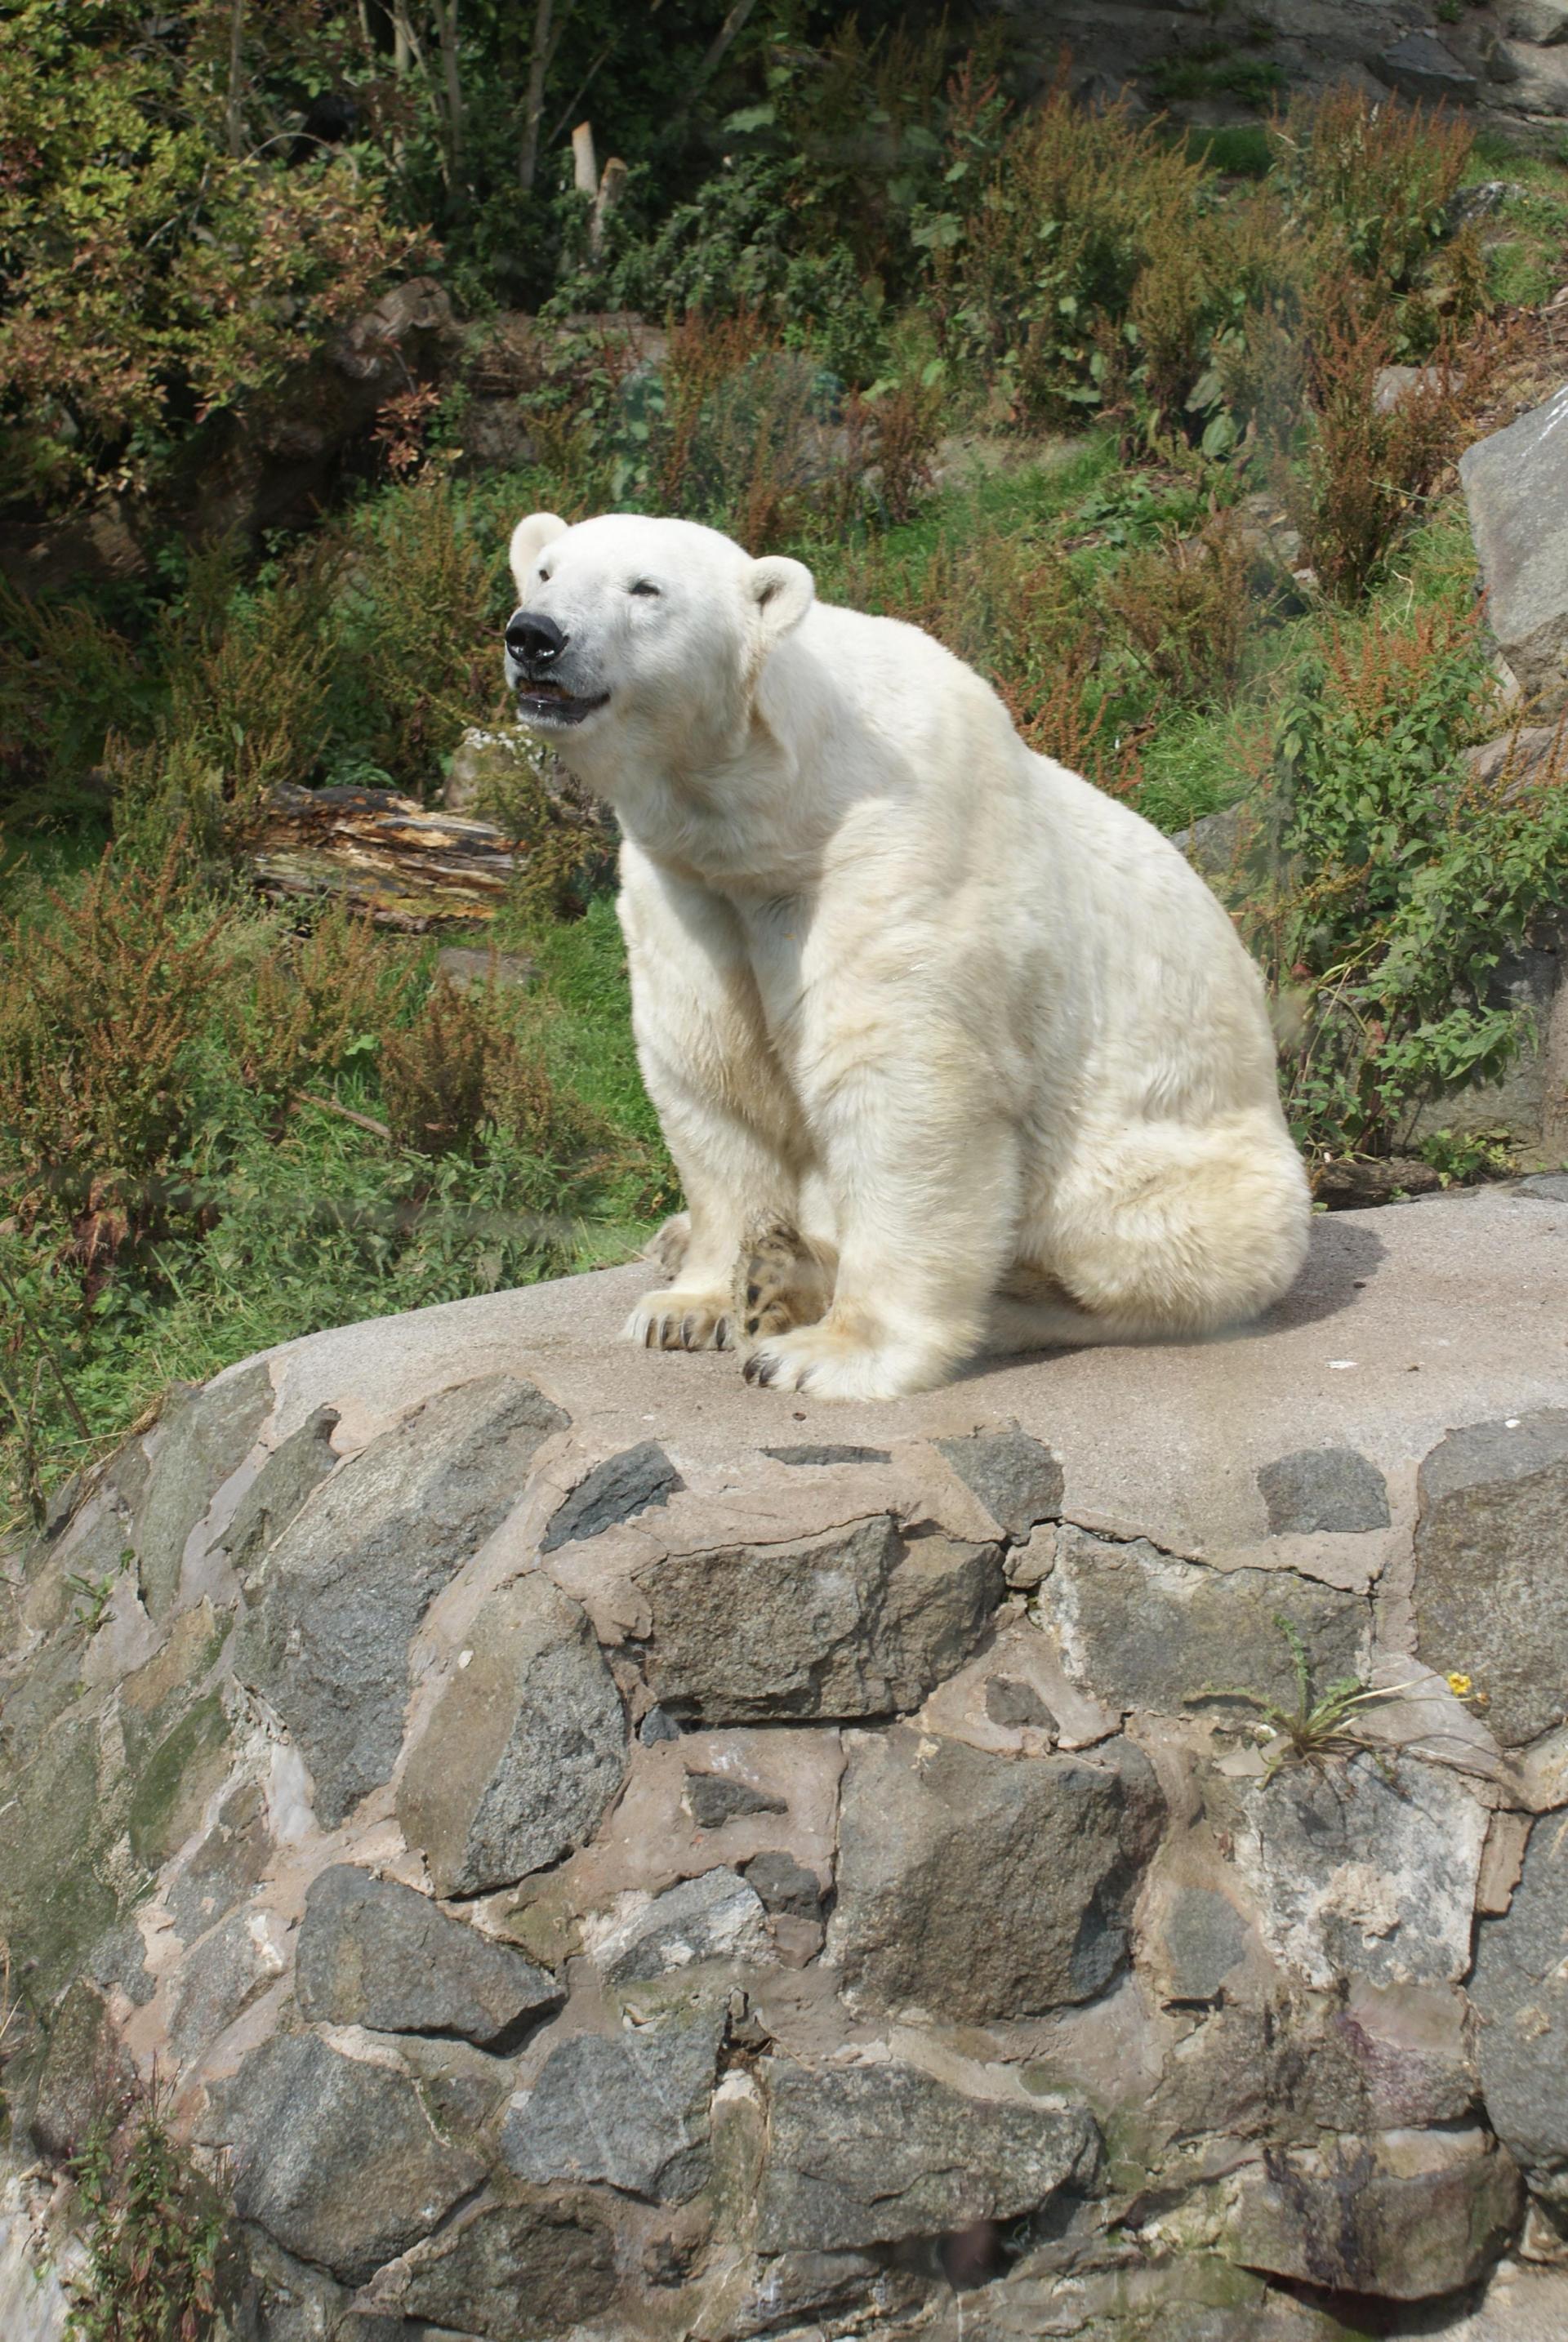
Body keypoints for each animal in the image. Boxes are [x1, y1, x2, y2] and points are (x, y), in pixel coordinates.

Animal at [501, 508, 1312, 1386]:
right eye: (545, 572)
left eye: (645, 588)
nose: (535, 637)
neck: (771, 812)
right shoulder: (686, 885)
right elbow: (712, 1071)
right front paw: (691, 1305)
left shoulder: (893, 846)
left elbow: (900, 1084)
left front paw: (822, 1354)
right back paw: (747, 1262)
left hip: (1165, 1177)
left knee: (1134, 1262)